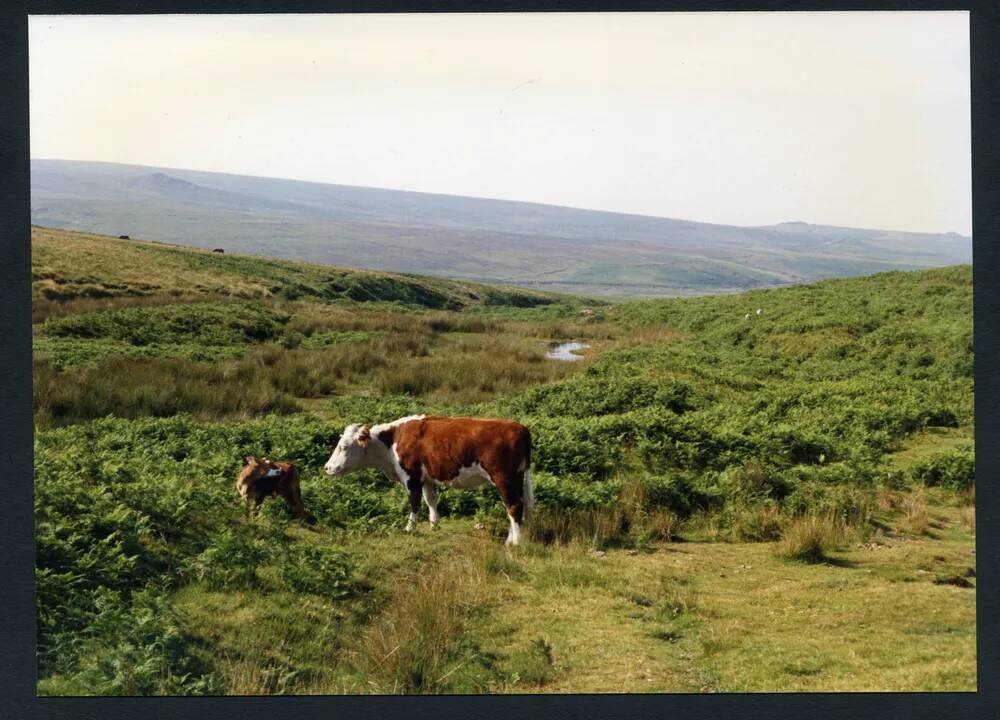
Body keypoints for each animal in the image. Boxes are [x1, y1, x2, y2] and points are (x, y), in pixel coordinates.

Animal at [324, 416, 536, 544]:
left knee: (514, 506)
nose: (327, 468)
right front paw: (434, 524)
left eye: (343, 446)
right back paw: (512, 537)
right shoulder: (427, 478)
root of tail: (519, 427)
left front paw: (410, 527)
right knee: (520, 505)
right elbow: (430, 500)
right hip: (517, 477)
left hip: (503, 478)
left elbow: (414, 503)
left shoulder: (411, 476)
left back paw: (514, 542)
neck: (393, 441)